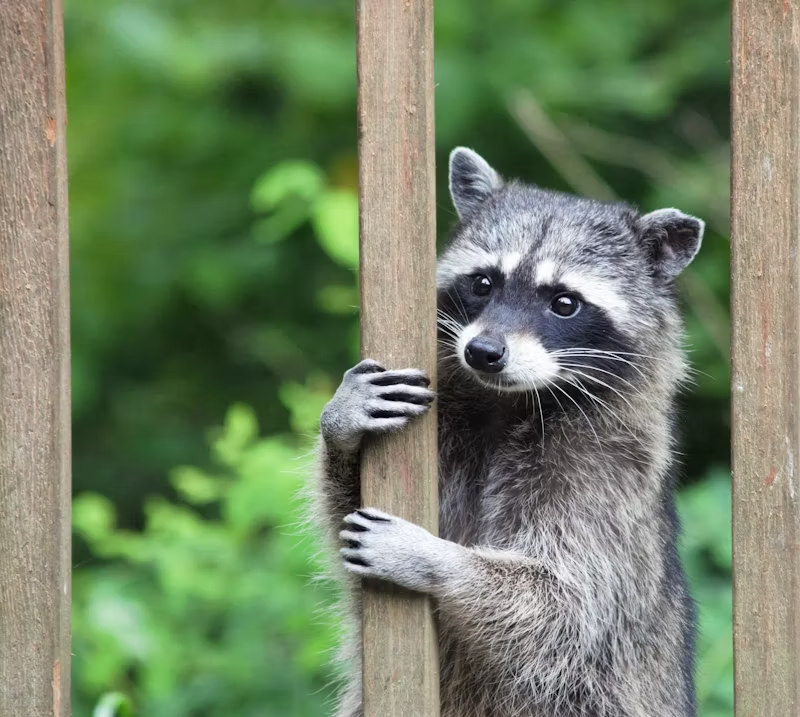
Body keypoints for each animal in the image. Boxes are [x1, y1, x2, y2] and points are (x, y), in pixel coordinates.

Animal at [313, 147, 703, 717]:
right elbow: (339, 517)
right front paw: (341, 426)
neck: (507, 401)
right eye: (483, 283)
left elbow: (566, 604)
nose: (483, 352)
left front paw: (437, 560)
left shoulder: (606, 474)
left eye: (564, 302)